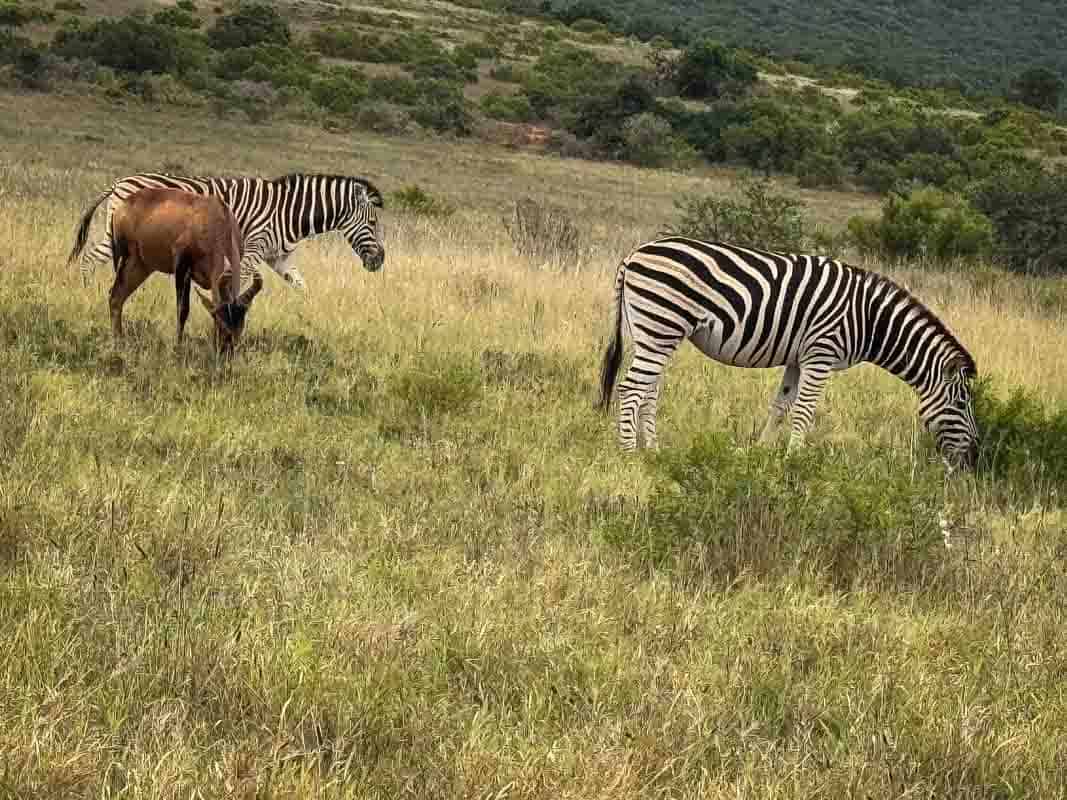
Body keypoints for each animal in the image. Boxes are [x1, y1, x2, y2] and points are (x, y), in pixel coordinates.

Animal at [67, 172, 384, 292]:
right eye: (372, 224)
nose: (380, 261)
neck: (289, 212)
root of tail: (119, 182)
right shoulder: (252, 250)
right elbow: (237, 284)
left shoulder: (279, 258)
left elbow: (302, 287)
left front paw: (307, 318)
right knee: (90, 259)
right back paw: (87, 293)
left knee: (91, 258)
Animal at [109, 187, 263, 354]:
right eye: (219, 319)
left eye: (240, 326)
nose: (225, 353)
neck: (214, 218)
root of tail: (121, 207)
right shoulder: (182, 266)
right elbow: (182, 309)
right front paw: (178, 346)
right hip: (124, 255)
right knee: (115, 294)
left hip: (140, 265)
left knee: (116, 297)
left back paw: (119, 340)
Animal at [597, 236, 977, 469]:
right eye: (961, 403)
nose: (973, 456)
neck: (869, 318)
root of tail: (633, 255)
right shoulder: (821, 354)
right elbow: (805, 411)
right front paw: (793, 460)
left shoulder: (798, 357)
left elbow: (780, 406)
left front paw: (762, 453)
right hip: (661, 323)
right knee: (632, 389)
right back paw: (629, 455)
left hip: (653, 333)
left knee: (649, 390)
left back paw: (653, 450)